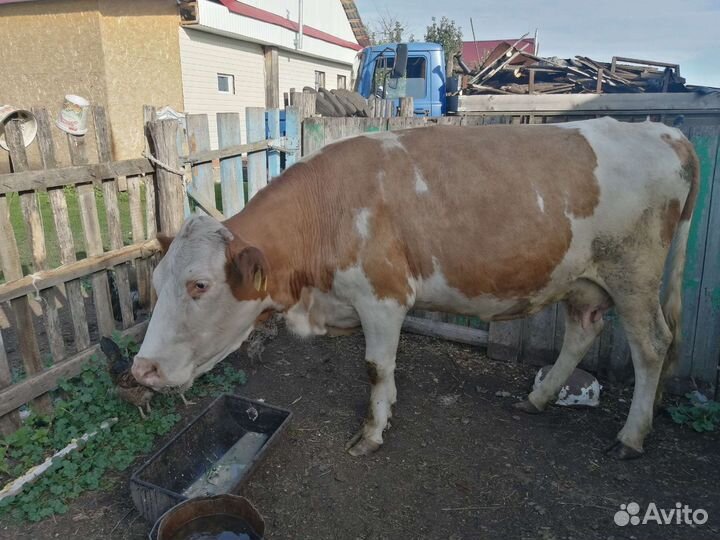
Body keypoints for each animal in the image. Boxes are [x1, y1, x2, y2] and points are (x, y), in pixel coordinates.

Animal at [132, 117, 698, 459]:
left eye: (199, 284)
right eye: (156, 282)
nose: (142, 370)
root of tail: (664, 132)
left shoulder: (383, 297)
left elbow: (375, 366)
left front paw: (372, 431)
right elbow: (385, 370)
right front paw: (389, 407)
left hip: (633, 273)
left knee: (653, 346)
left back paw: (631, 436)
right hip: (583, 278)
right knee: (582, 331)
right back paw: (537, 398)